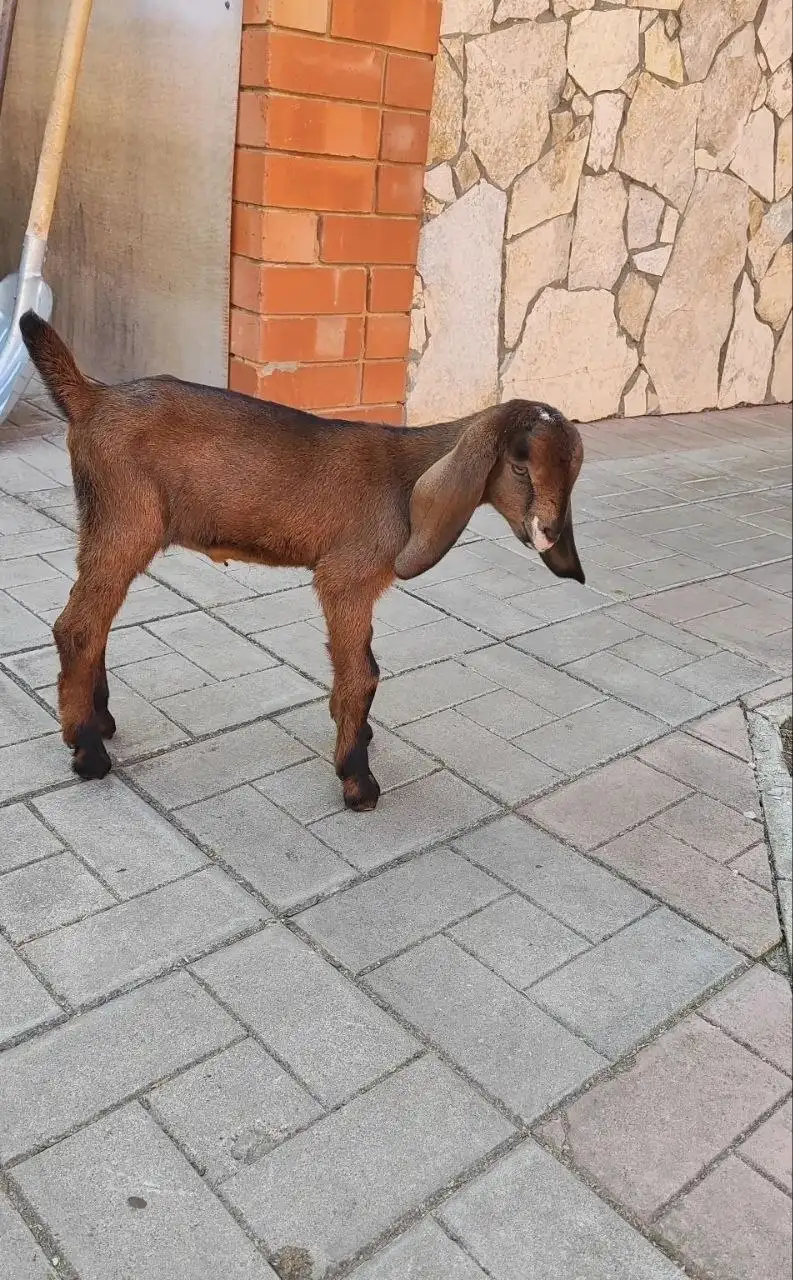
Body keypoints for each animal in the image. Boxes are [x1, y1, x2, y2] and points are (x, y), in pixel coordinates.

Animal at [19, 311, 584, 811]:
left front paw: (359, 740)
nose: (550, 532)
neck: (406, 479)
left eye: (573, 471)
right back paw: (88, 751)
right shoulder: (346, 578)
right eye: (518, 465)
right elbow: (362, 674)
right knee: (77, 626)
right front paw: (357, 779)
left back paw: (100, 721)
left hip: (107, 526)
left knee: (97, 622)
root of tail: (93, 398)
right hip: (125, 521)